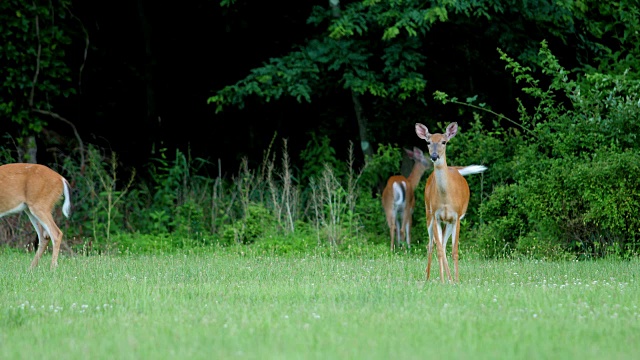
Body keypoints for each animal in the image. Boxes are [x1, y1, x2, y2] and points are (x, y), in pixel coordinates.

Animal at [416, 123, 484, 284]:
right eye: (428, 142)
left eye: (444, 142)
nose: (434, 156)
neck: (446, 198)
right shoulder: (436, 216)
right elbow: (440, 250)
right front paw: (442, 280)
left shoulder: (456, 217)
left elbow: (454, 251)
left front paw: (456, 280)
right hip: (428, 214)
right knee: (432, 245)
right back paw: (428, 277)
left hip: (448, 222)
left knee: (443, 243)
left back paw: (450, 278)